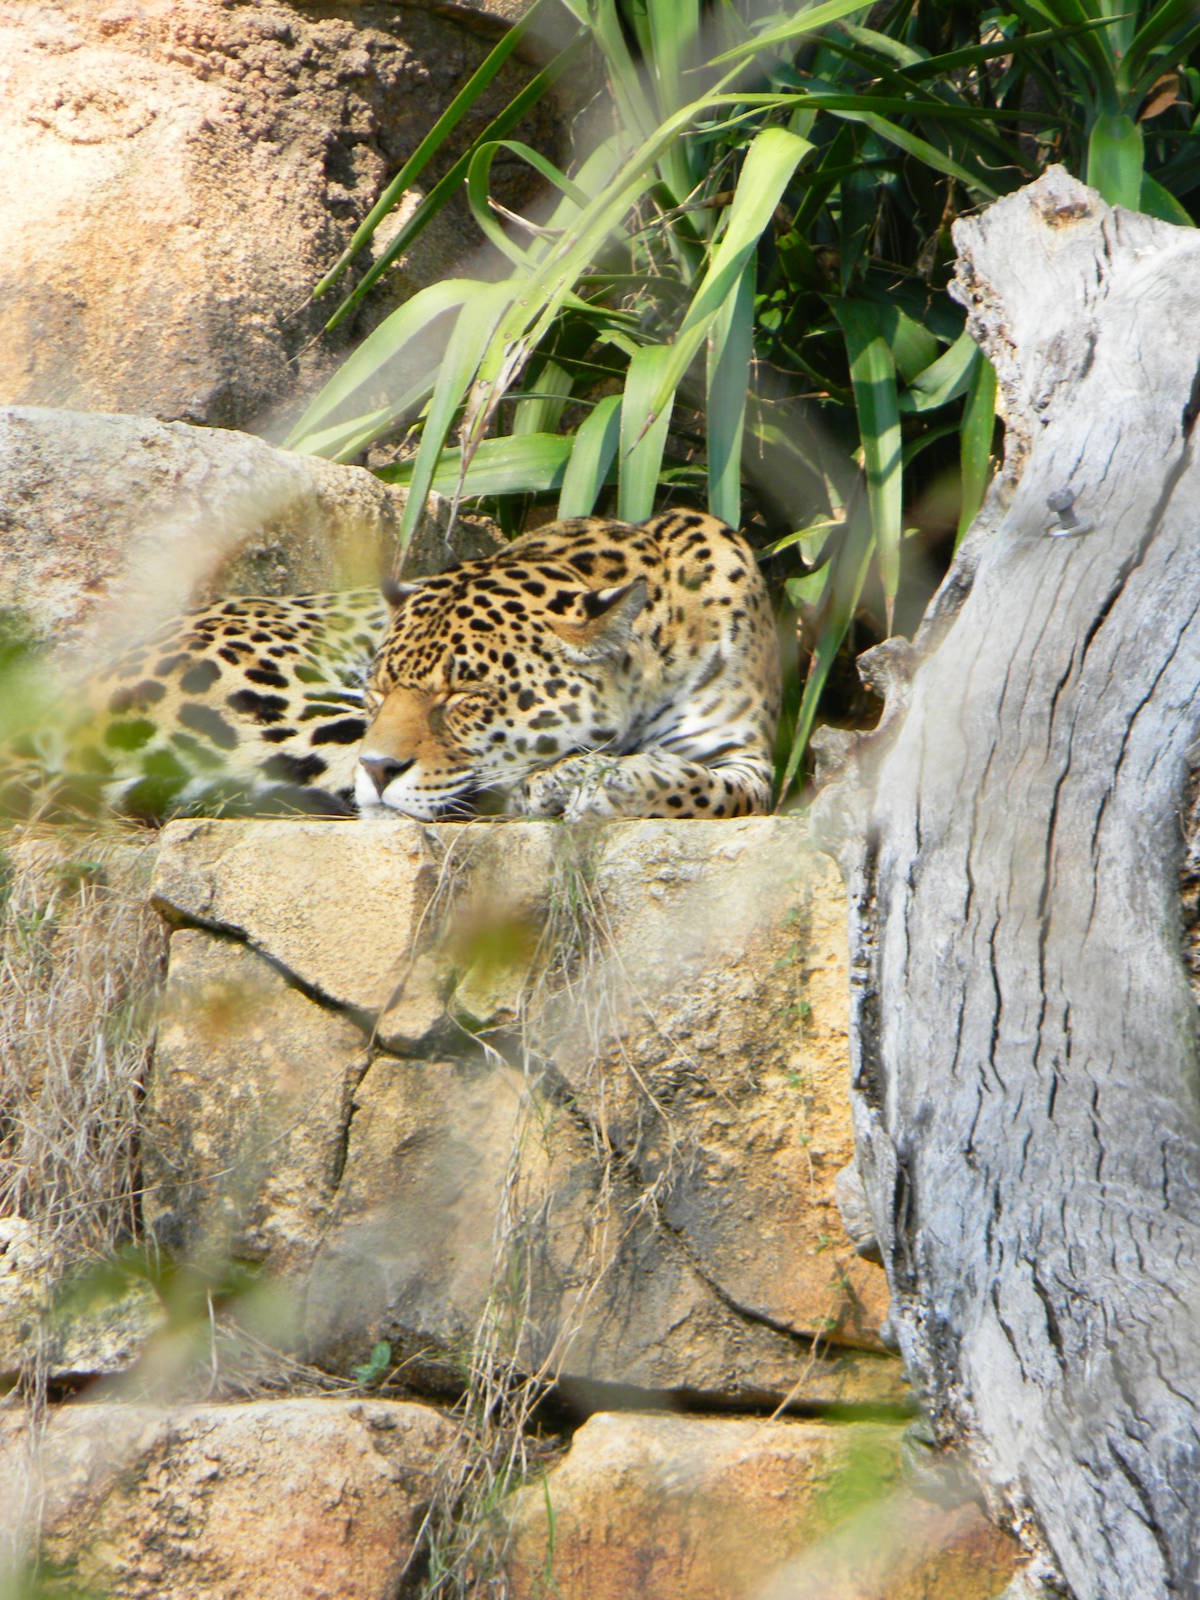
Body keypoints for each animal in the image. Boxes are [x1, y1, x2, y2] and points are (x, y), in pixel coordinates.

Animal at [8, 510, 780, 822]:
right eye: (377, 689)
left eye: (465, 694)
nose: (380, 770)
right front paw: (568, 780)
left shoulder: (744, 760)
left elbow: (706, 788)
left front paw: (614, 783)